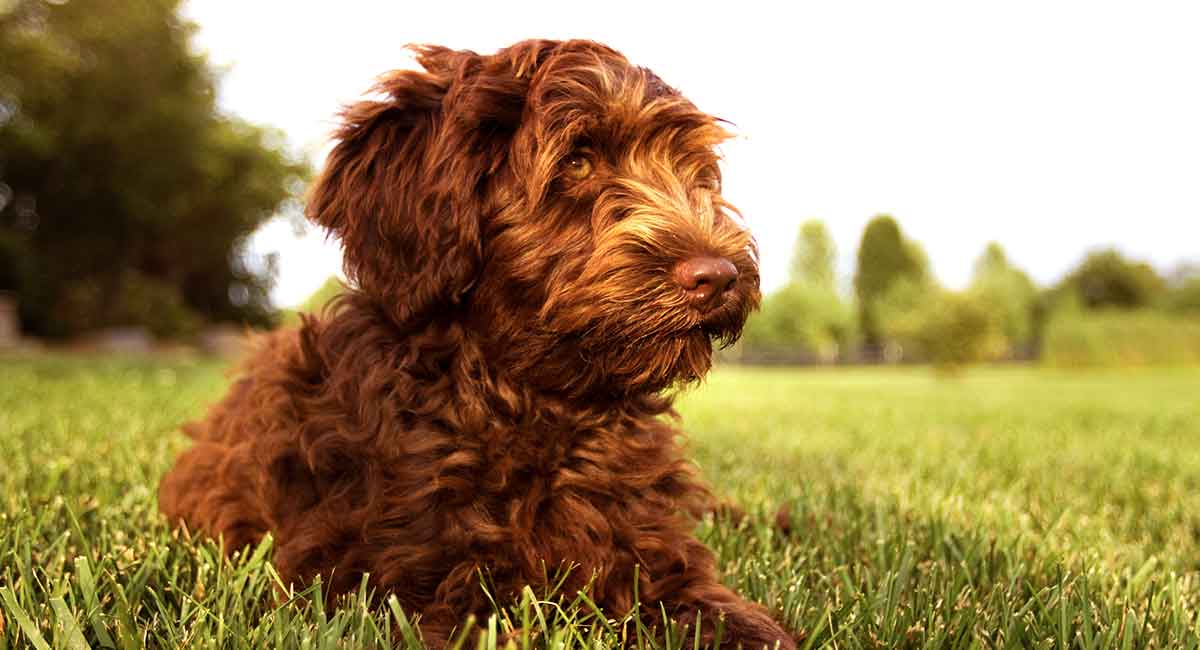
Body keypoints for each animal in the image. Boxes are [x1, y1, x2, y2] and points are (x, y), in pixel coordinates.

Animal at [159, 40, 796, 650]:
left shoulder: (652, 551)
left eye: (693, 169)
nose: (718, 276)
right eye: (578, 161)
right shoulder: (387, 583)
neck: (532, 403)